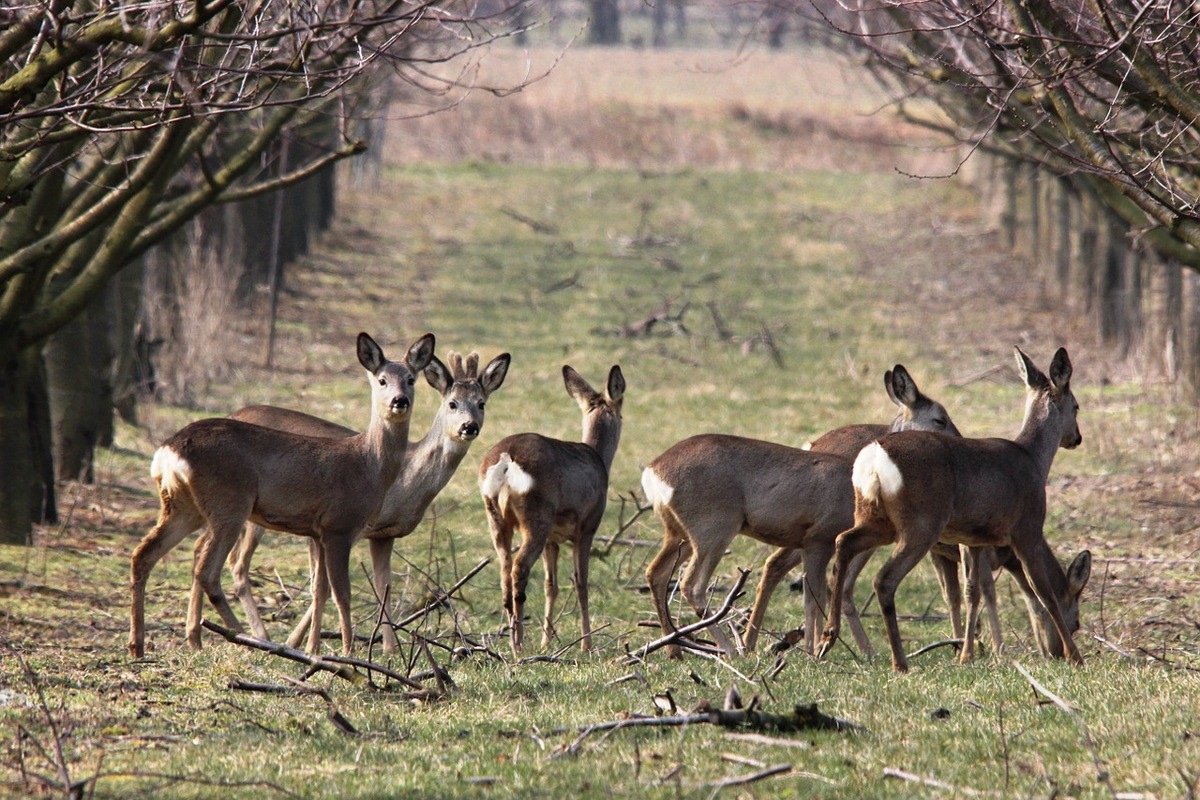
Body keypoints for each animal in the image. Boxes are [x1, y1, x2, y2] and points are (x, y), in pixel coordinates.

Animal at [129, 331, 436, 657]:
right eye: (382, 380)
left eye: (411, 379)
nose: (399, 401)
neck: (368, 466)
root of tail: (168, 451)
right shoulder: (338, 526)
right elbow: (342, 592)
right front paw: (347, 651)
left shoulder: (319, 532)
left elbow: (320, 589)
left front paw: (315, 649)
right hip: (230, 503)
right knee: (207, 570)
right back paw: (249, 640)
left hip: (183, 506)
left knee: (144, 554)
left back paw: (138, 646)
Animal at [226, 350, 508, 652]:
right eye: (452, 404)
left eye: (481, 404)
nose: (469, 426)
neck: (403, 482)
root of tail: (232, 412)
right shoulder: (336, 527)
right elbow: (323, 587)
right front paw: (298, 642)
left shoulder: (383, 534)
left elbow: (383, 587)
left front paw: (390, 649)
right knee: (238, 565)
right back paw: (259, 636)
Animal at [477, 367, 628, 652]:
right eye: (622, 412)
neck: (599, 459)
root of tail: (506, 460)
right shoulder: (587, 527)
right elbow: (581, 583)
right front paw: (587, 644)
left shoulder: (553, 539)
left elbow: (551, 585)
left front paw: (547, 641)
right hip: (536, 516)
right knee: (519, 568)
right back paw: (519, 643)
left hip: (496, 518)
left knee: (505, 570)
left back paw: (512, 639)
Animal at [643, 362, 960, 657]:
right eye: (939, 418)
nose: (958, 442)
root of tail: (653, 471)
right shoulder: (820, 537)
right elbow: (814, 597)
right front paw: (813, 651)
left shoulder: (811, 542)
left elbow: (814, 595)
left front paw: (813, 648)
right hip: (714, 528)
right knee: (692, 585)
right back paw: (731, 650)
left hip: (679, 533)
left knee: (656, 573)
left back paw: (676, 649)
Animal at [820, 347, 1094, 671]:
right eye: (1076, 405)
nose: (1076, 438)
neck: (1034, 460)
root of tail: (874, 457)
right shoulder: (1027, 529)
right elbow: (1045, 594)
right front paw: (1076, 657)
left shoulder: (973, 539)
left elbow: (972, 590)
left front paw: (967, 653)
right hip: (921, 523)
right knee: (884, 579)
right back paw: (899, 662)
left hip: (875, 518)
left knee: (844, 542)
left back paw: (827, 638)